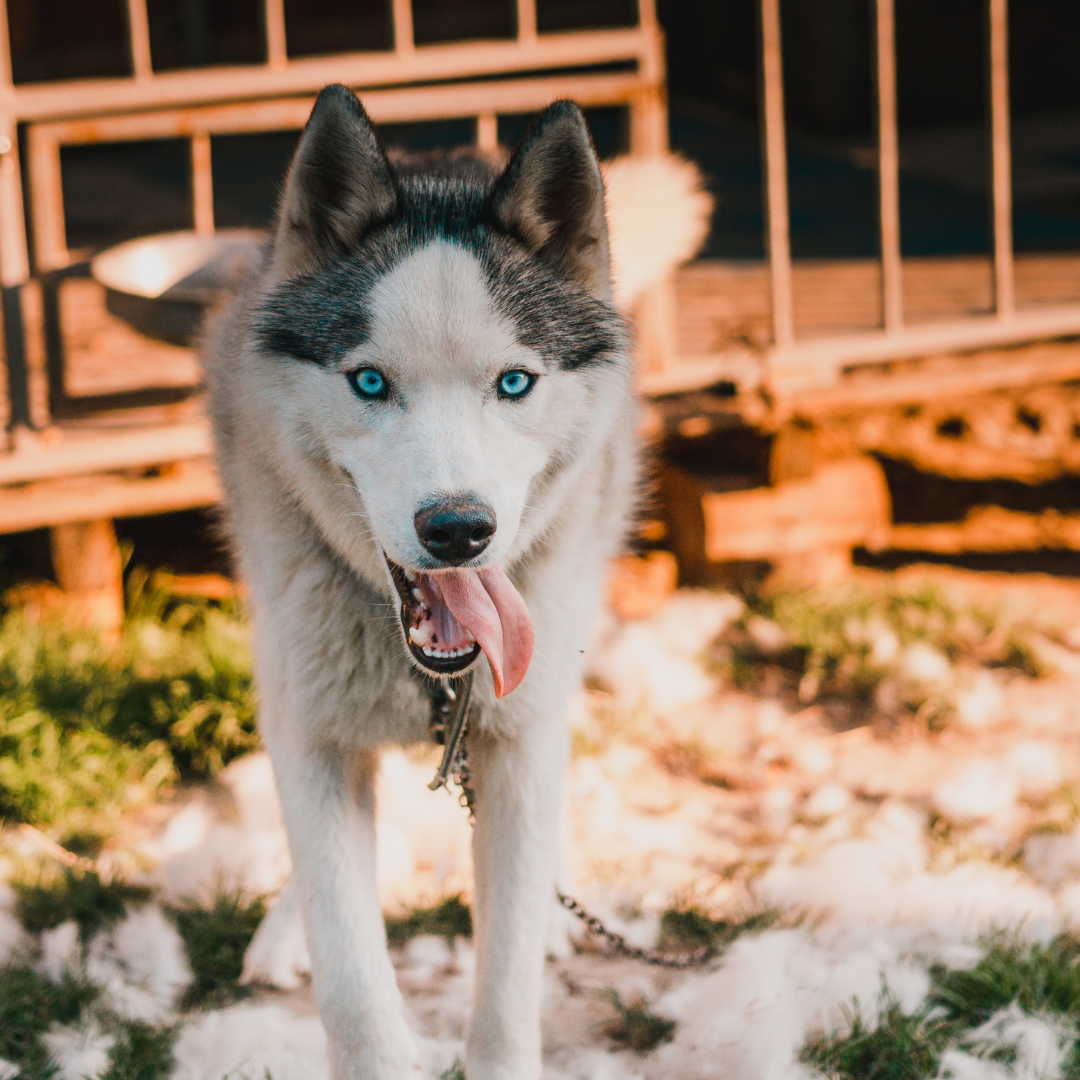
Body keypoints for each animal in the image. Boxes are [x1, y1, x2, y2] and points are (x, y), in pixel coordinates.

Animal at [204, 86, 630, 1080]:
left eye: (514, 383)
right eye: (369, 382)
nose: (458, 529)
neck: (431, 678)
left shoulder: (515, 741)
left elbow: (506, 991)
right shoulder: (311, 736)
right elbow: (353, 982)